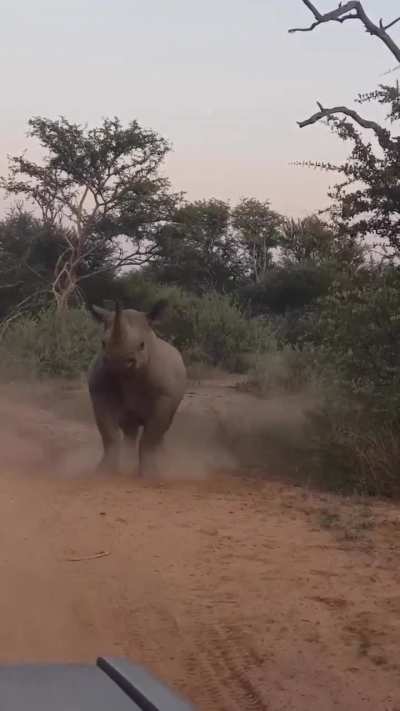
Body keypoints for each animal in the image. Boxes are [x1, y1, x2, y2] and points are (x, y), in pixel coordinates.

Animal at [87, 300, 186, 478]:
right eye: (103, 343)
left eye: (142, 345)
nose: (118, 360)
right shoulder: (99, 392)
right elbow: (109, 434)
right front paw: (103, 473)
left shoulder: (164, 396)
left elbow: (150, 437)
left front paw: (150, 475)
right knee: (130, 427)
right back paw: (128, 463)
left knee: (163, 427)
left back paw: (164, 462)